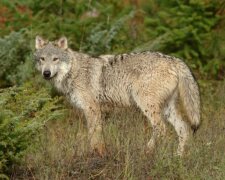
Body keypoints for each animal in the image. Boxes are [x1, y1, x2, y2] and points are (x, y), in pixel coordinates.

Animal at [33, 35, 200, 156]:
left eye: (55, 59)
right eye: (42, 59)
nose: (46, 73)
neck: (73, 71)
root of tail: (174, 60)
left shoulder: (91, 108)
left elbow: (93, 135)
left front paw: (95, 154)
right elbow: (98, 135)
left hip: (147, 105)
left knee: (161, 128)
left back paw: (148, 150)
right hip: (167, 109)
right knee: (184, 129)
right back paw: (178, 158)